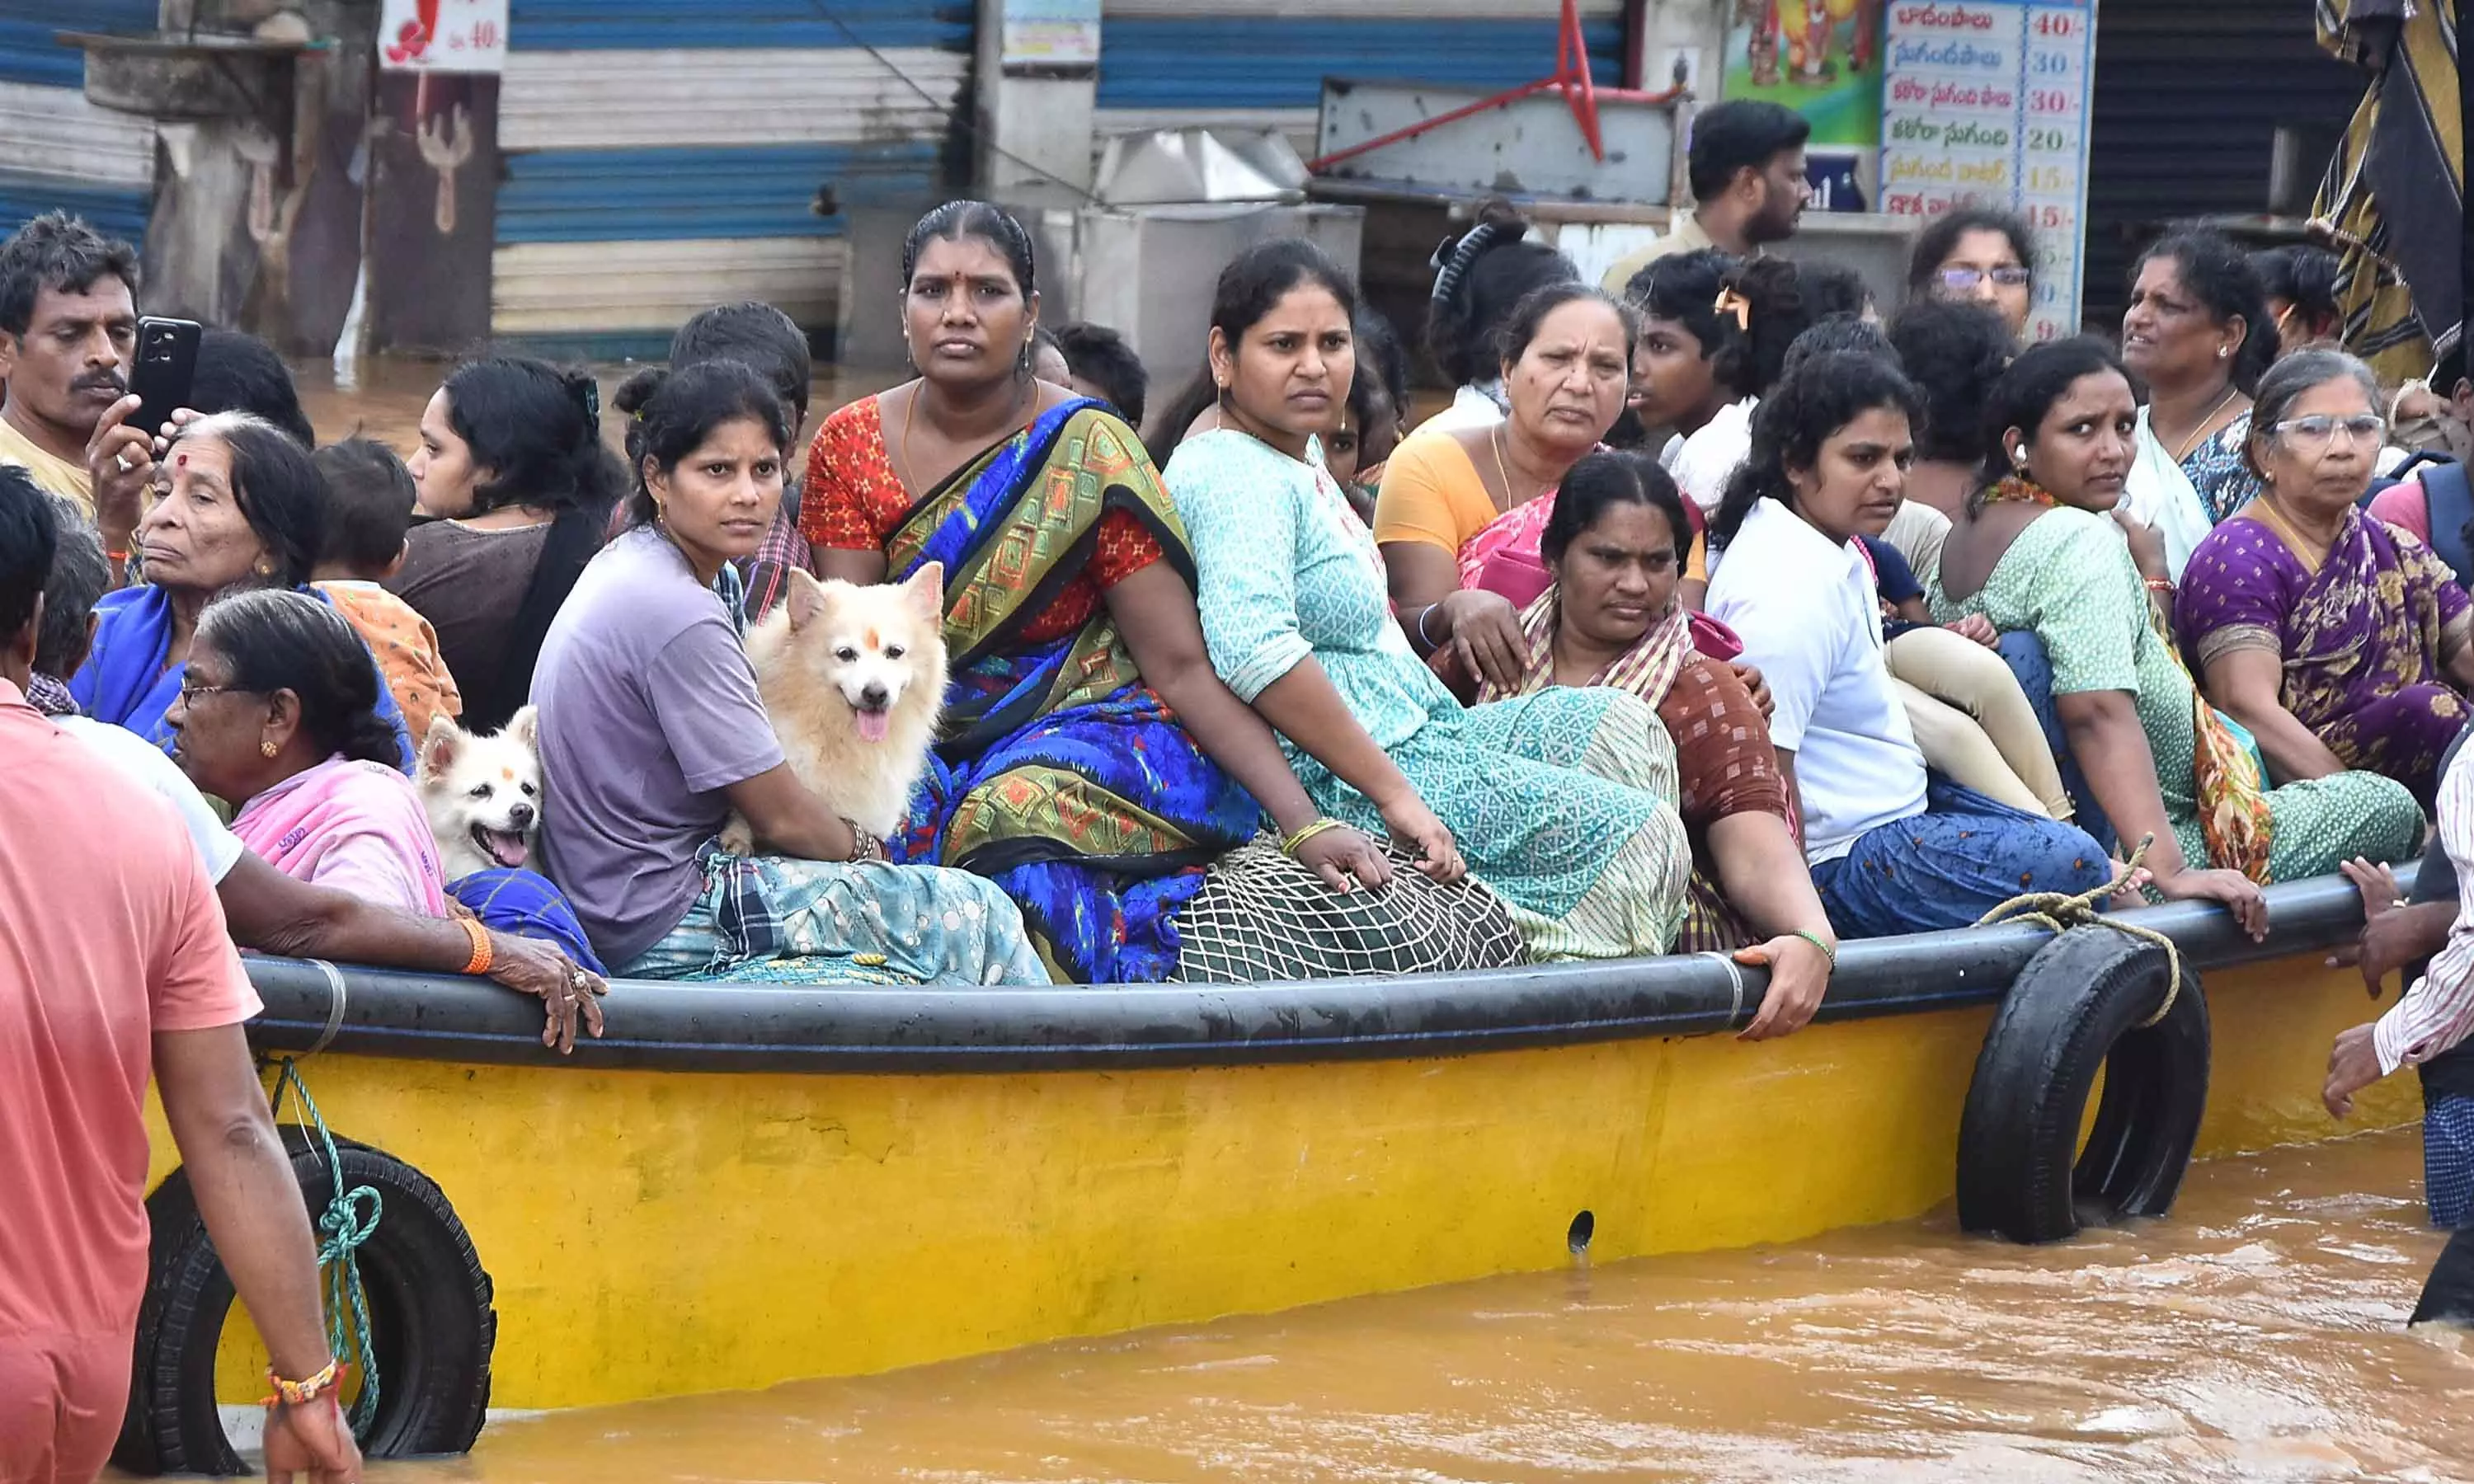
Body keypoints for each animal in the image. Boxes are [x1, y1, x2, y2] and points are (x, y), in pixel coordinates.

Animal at [722, 559, 950, 856]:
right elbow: (745, 815)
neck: (842, 738)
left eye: (895, 652)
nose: (875, 694)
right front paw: (737, 838)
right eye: (845, 654)